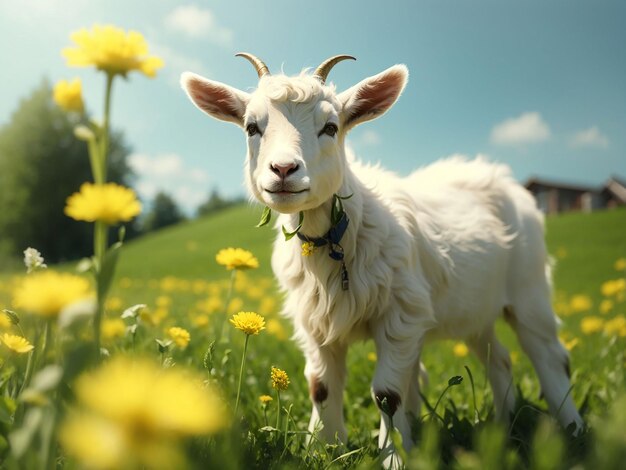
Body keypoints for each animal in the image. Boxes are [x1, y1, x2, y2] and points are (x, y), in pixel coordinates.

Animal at [179, 53, 580, 464]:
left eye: (330, 127)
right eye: (251, 127)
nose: (284, 170)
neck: (339, 234)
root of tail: (499, 174)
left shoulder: (400, 314)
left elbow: (388, 395)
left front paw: (394, 457)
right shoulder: (314, 322)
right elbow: (321, 387)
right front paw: (322, 449)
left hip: (529, 288)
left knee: (550, 355)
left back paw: (572, 429)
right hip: (474, 308)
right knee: (499, 359)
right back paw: (502, 429)